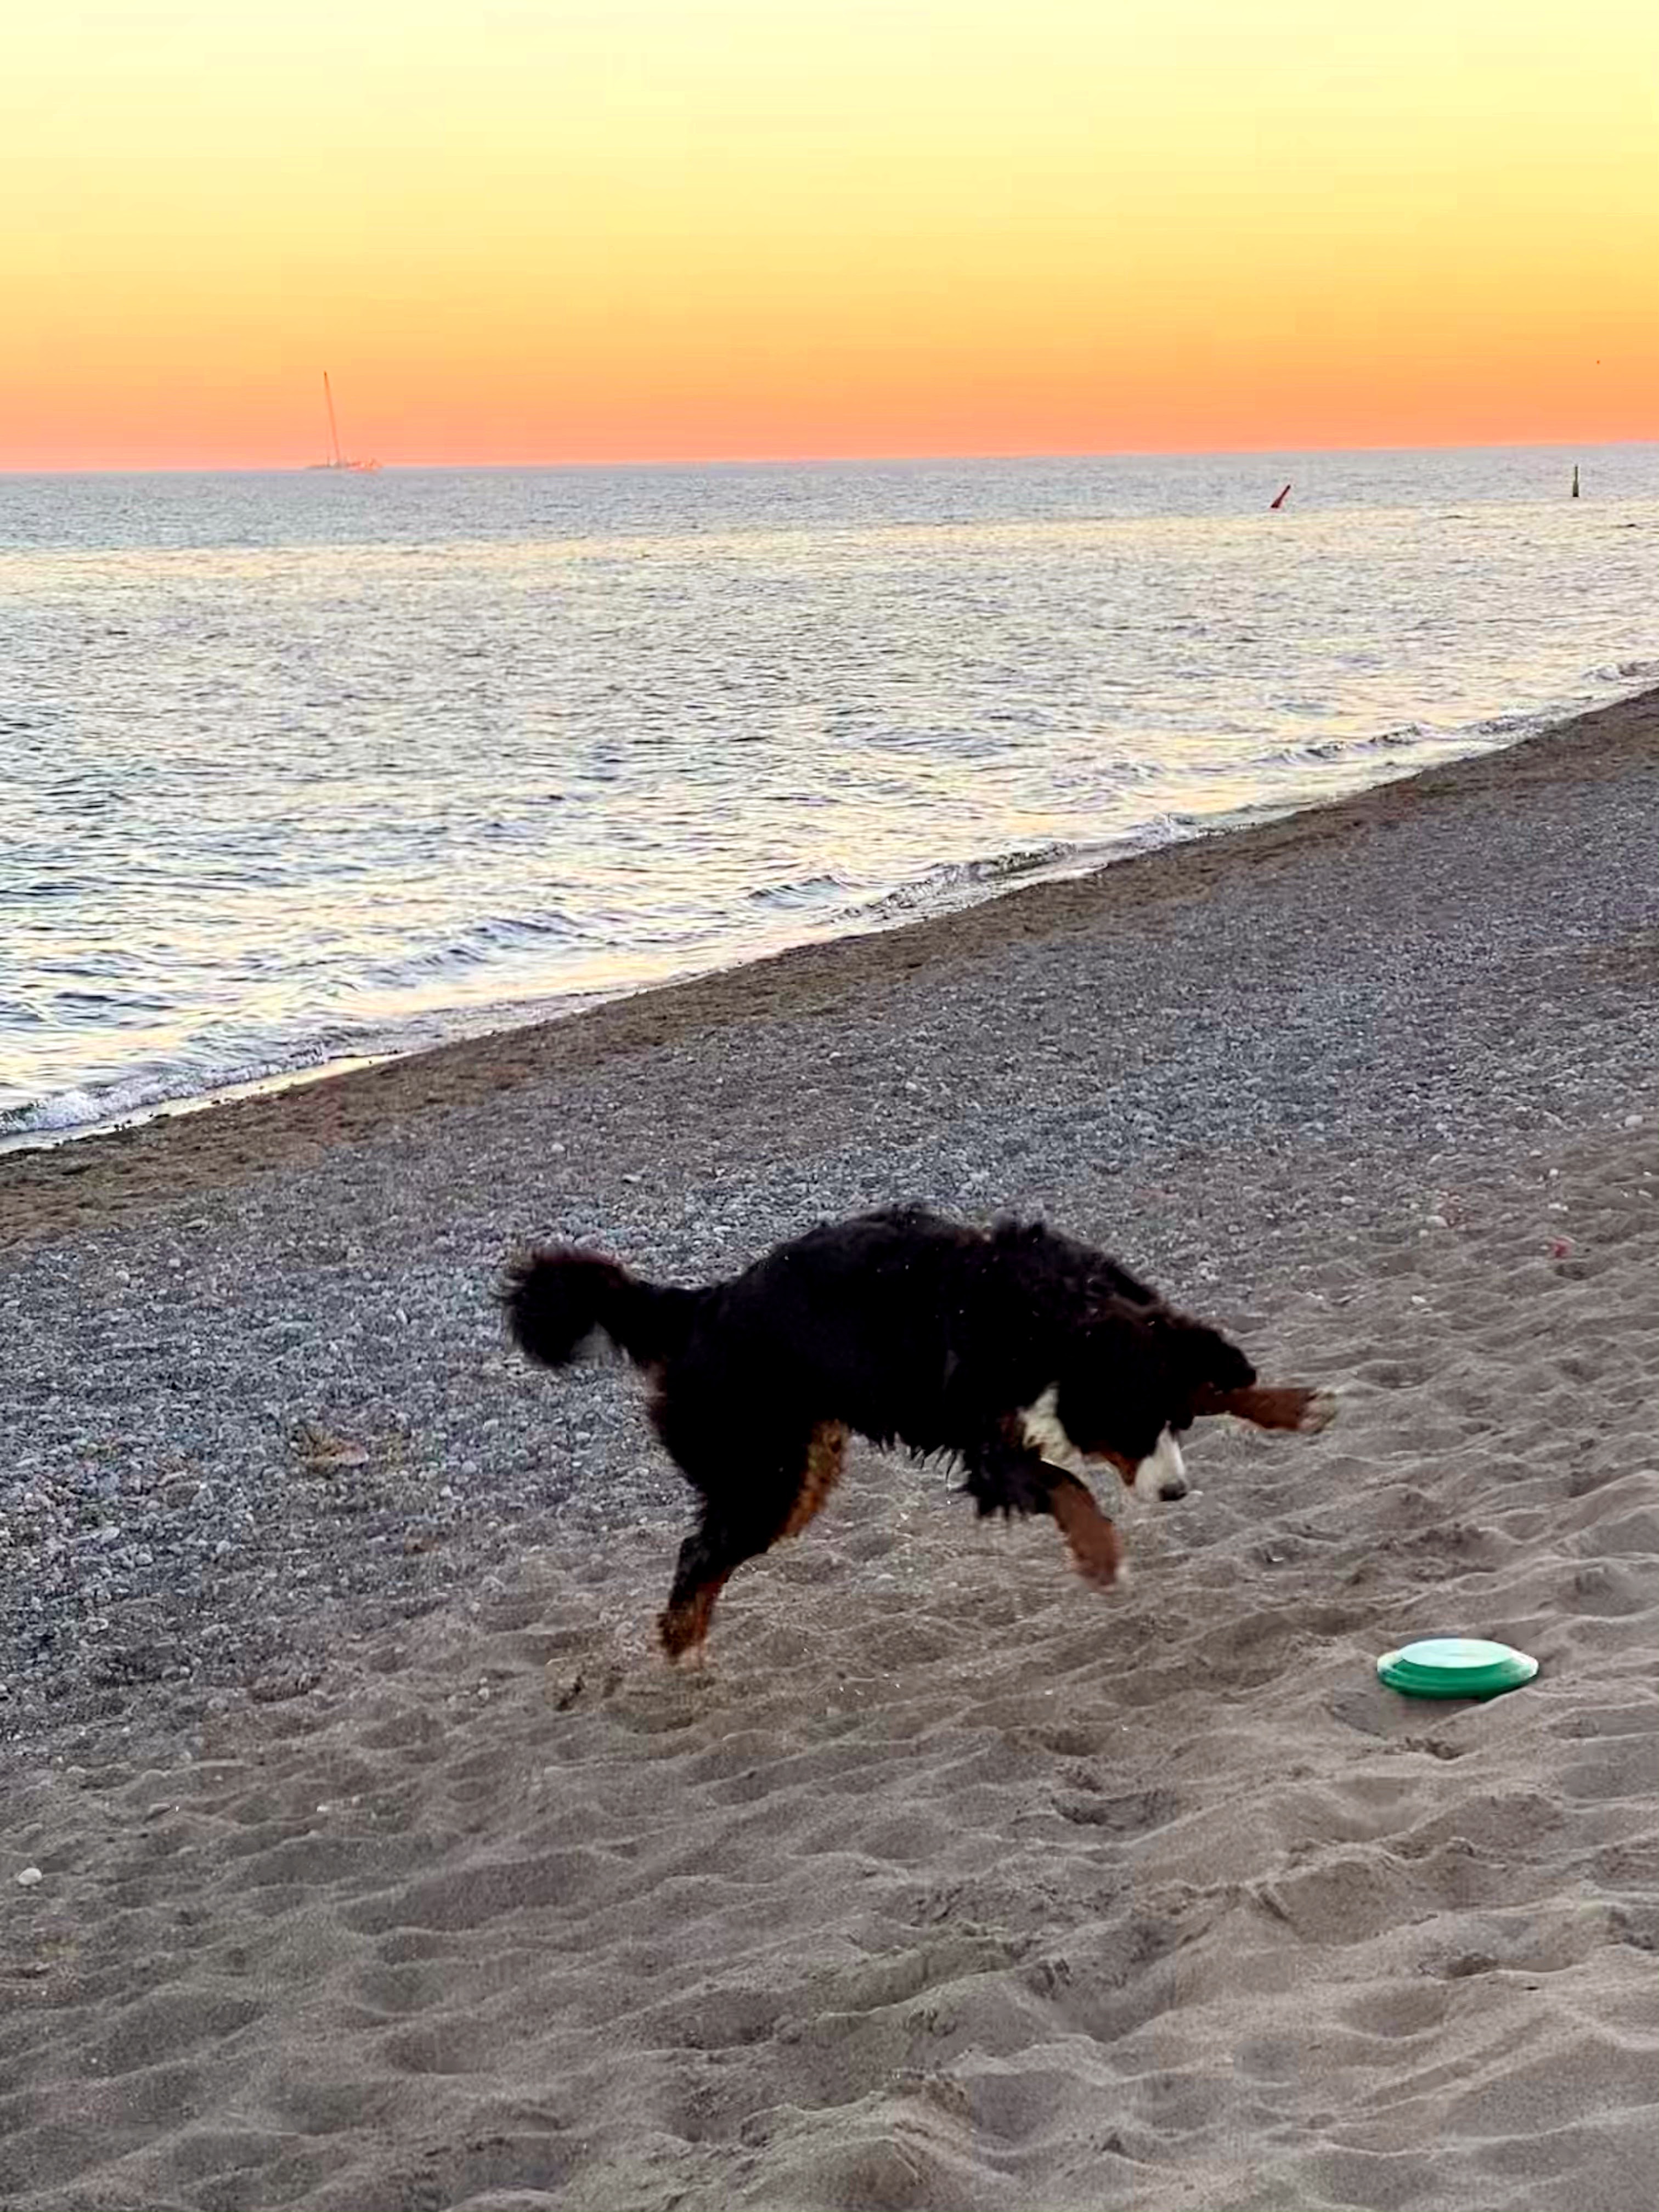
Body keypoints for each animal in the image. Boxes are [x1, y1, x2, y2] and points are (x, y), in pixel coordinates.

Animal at [500, 1212, 1336, 1663]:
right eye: (1126, 1430)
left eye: (1172, 1427)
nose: (1177, 1492)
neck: (1050, 1319)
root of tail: (705, 1304)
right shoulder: (990, 1445)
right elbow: (1066, 1485)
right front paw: (1101, 1556)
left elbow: (1208, 1377)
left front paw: (1294, 1405)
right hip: (766, 1475)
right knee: (697, 1555)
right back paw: (683, 1647)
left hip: (803, 1470)